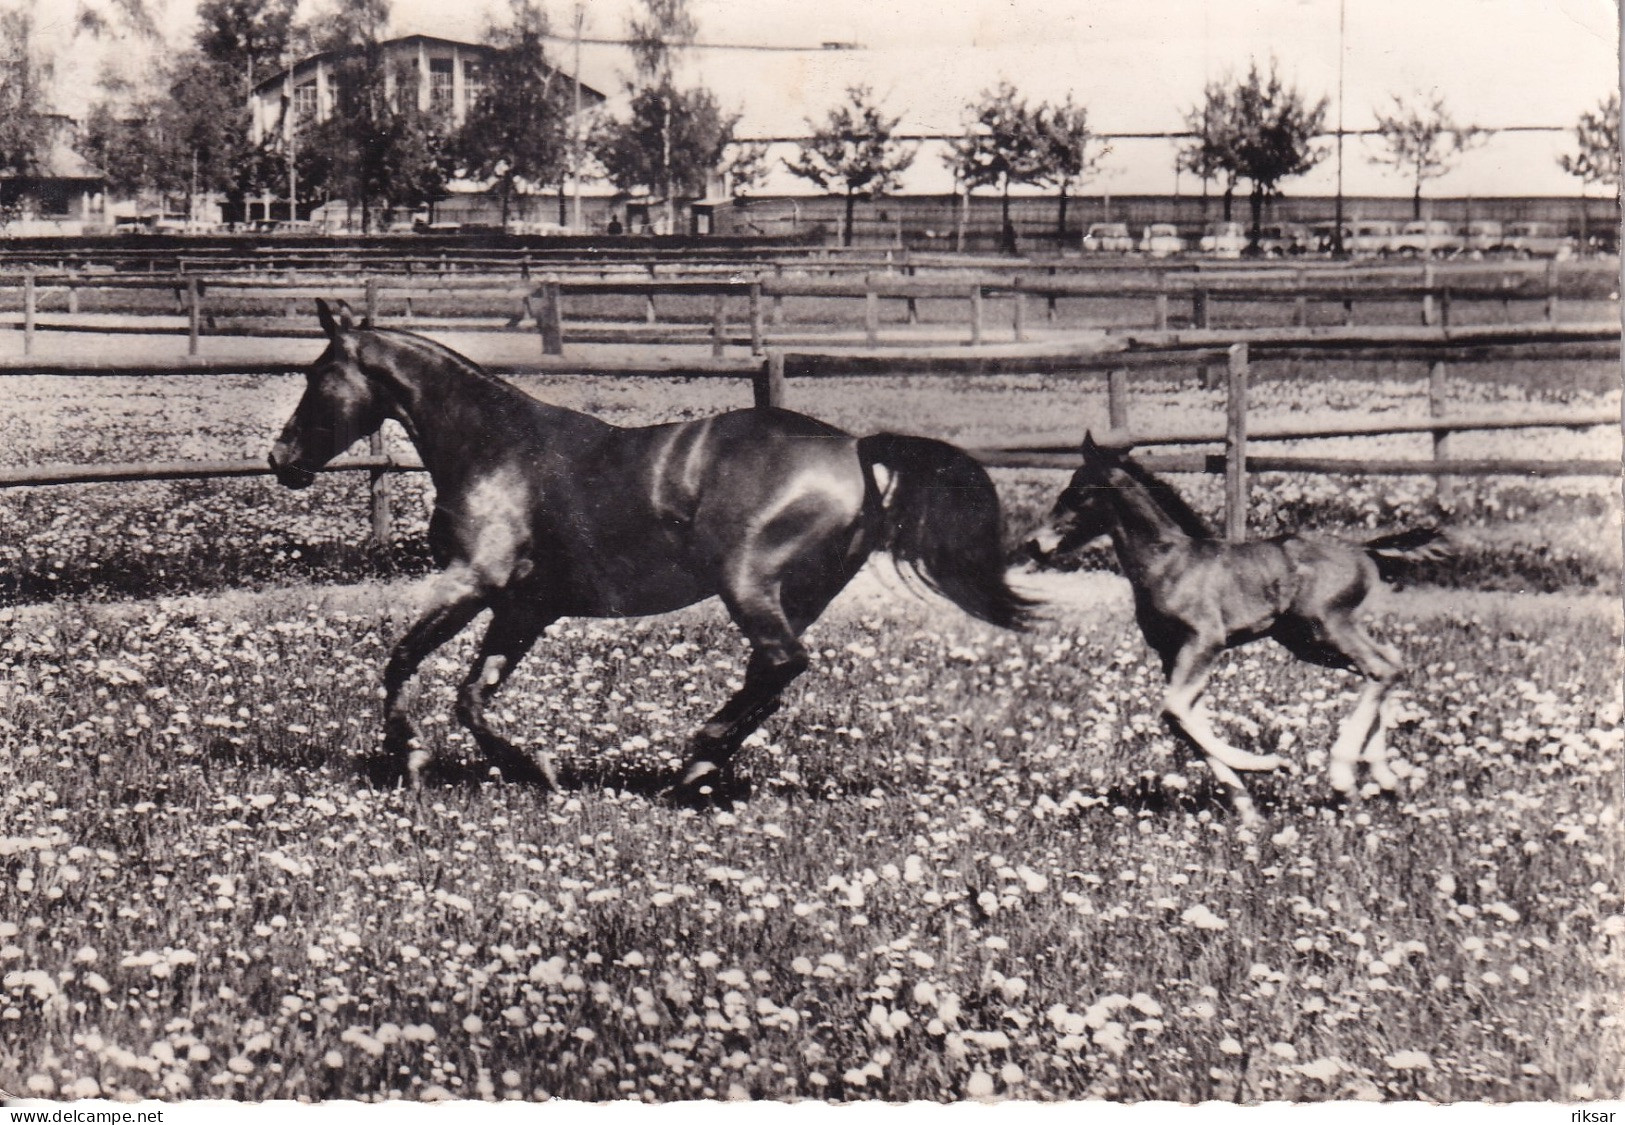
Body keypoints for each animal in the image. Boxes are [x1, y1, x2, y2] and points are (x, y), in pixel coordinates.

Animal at [264, 295, 1027, 790]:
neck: (494, 448)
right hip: (797, 595)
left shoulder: (471, 582)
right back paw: (699, 766)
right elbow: (472, 697)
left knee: (783, 663)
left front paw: (415, 756)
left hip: (748, 585)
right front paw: (532, 768)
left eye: (315, 374)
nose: (281, 458)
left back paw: (697, 757)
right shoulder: (523, 607)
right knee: (771, 674)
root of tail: (852, 448)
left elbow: (400, 661)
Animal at [1027, 435, 1449, 822]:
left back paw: (1343, 773)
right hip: (1307, 641)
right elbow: (1188, 723)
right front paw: (1249, 813)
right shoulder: (1171, 654)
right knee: (1388, 663)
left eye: (1079, 493)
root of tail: (1363, 549)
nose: (1034, 544)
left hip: (1325, 626)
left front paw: (1273, 764)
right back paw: (1385, 778)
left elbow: (1174, 711)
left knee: (1381, 668)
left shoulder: (1205, 642)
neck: (1168, 563)